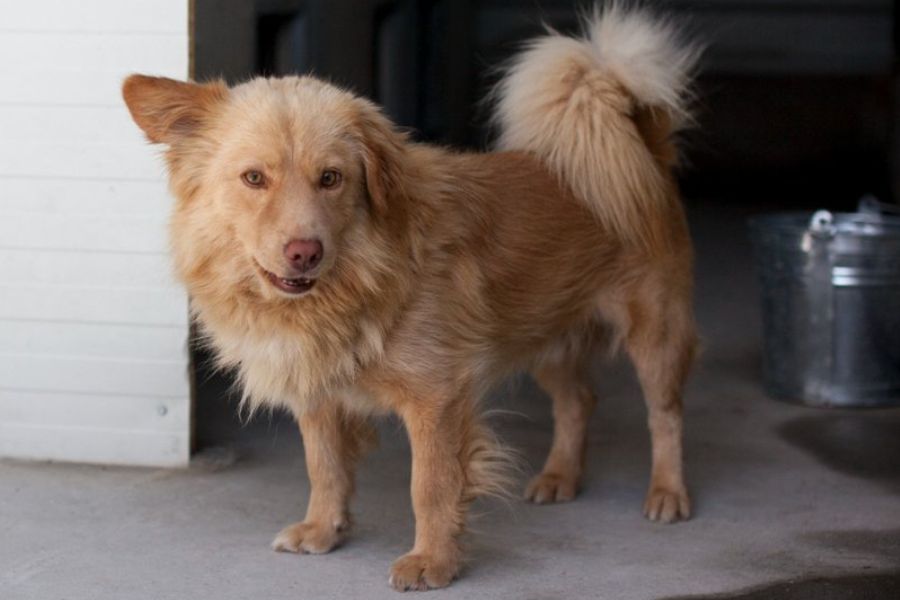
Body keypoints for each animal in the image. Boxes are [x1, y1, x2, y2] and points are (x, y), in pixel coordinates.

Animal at [123, 6, 699, 591]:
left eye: (330, 178)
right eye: (254, 178)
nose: (305, 253)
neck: (360, 277)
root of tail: (640, 141)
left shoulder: (436, 399)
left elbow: (431, 486)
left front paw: (433, 561)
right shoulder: (319, 395)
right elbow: (324, 467)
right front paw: (323, 530)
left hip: (654, 334)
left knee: (666, 414)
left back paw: (668, 492)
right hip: (545, 334)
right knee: (579, 400)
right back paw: (560, 476)